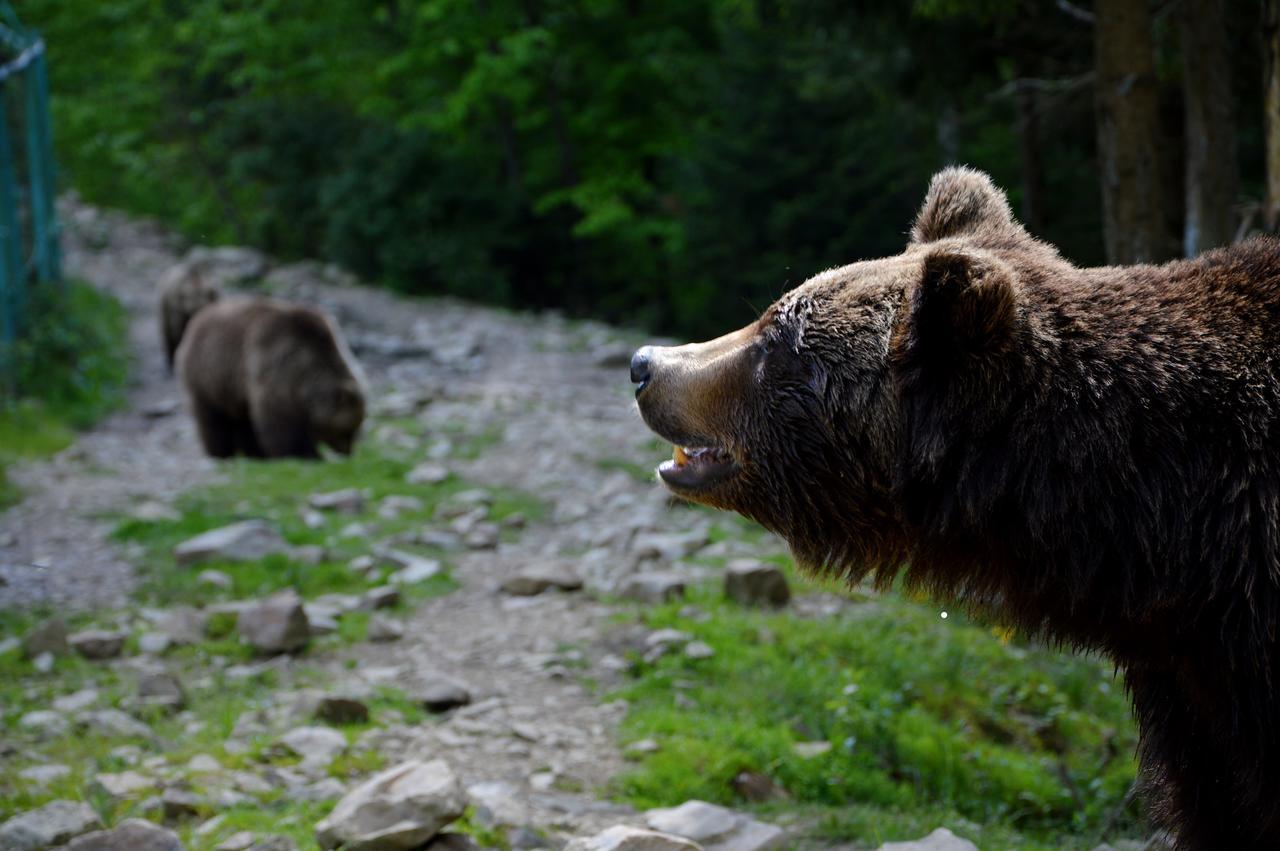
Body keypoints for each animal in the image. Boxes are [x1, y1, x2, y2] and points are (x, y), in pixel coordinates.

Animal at [175, 296, 366, 458]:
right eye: (347, 430)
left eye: (357, 428)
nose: (348, 452)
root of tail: (198, 318)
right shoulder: (277, 369)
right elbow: (280, 421)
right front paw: (302, 453)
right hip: (209, 371)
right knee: (213, 415)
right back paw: (221, 452)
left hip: (234, 386)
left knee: (244, 418)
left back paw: (254, 452)